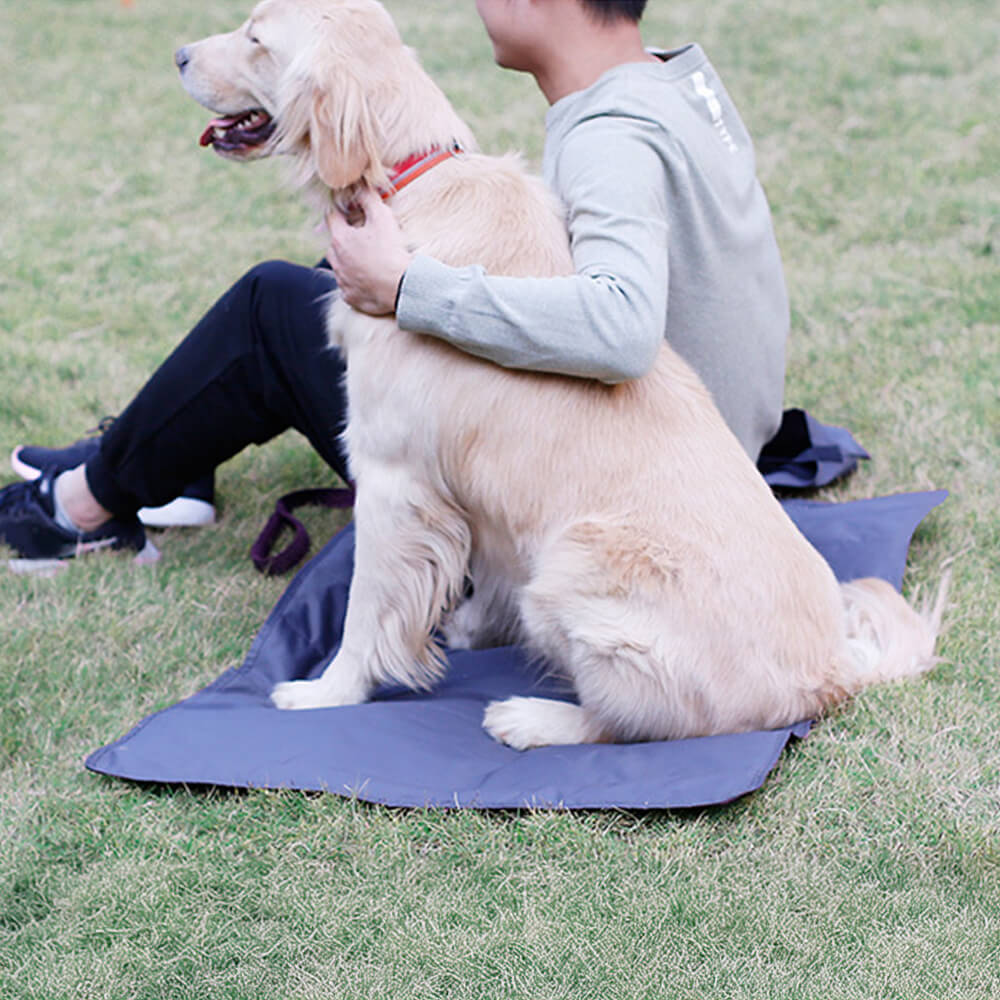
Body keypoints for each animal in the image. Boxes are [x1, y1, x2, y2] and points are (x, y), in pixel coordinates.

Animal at [178, 0, 944, 752]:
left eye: (255, 39)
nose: (180, 54)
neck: (410, 177)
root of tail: (832, 669)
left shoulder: (392, 478)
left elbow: (367, 609)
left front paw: (330, 692)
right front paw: (465, 629)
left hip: (573, 563)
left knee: (634, 722)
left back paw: (534, 720)